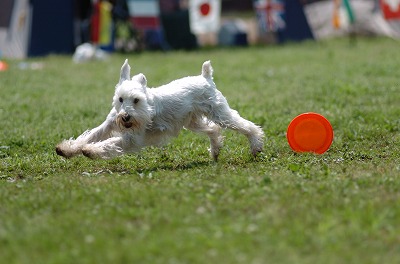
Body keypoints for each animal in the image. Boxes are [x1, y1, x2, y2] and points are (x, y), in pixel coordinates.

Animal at [55, 59, 262, 161]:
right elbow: (90, 135)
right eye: (120, 99)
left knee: (246, 126)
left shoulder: (132, 138)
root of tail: (205, 77)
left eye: (136, 100)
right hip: (192, 122)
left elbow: (109, 143)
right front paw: (66, 149)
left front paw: (90, 150)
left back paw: (255, 147)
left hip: (220, 113)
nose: (126, 117)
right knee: (213, 129)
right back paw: (216, 151)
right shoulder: (108, 125)